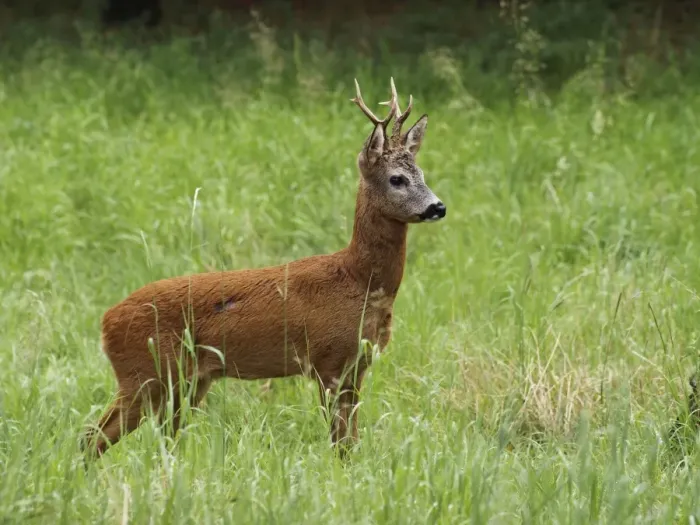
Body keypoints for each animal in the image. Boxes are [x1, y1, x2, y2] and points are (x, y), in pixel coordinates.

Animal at [83, 77, 446, 458]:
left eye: (421, 173)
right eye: (396, 179)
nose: (438, 207)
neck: (358, 281)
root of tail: (105, 322)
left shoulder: (357, 365)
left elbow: (350, 442)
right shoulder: (327, 359)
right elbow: (339, 442)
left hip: (186, 381)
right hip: (145, 373)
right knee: (92, 436)